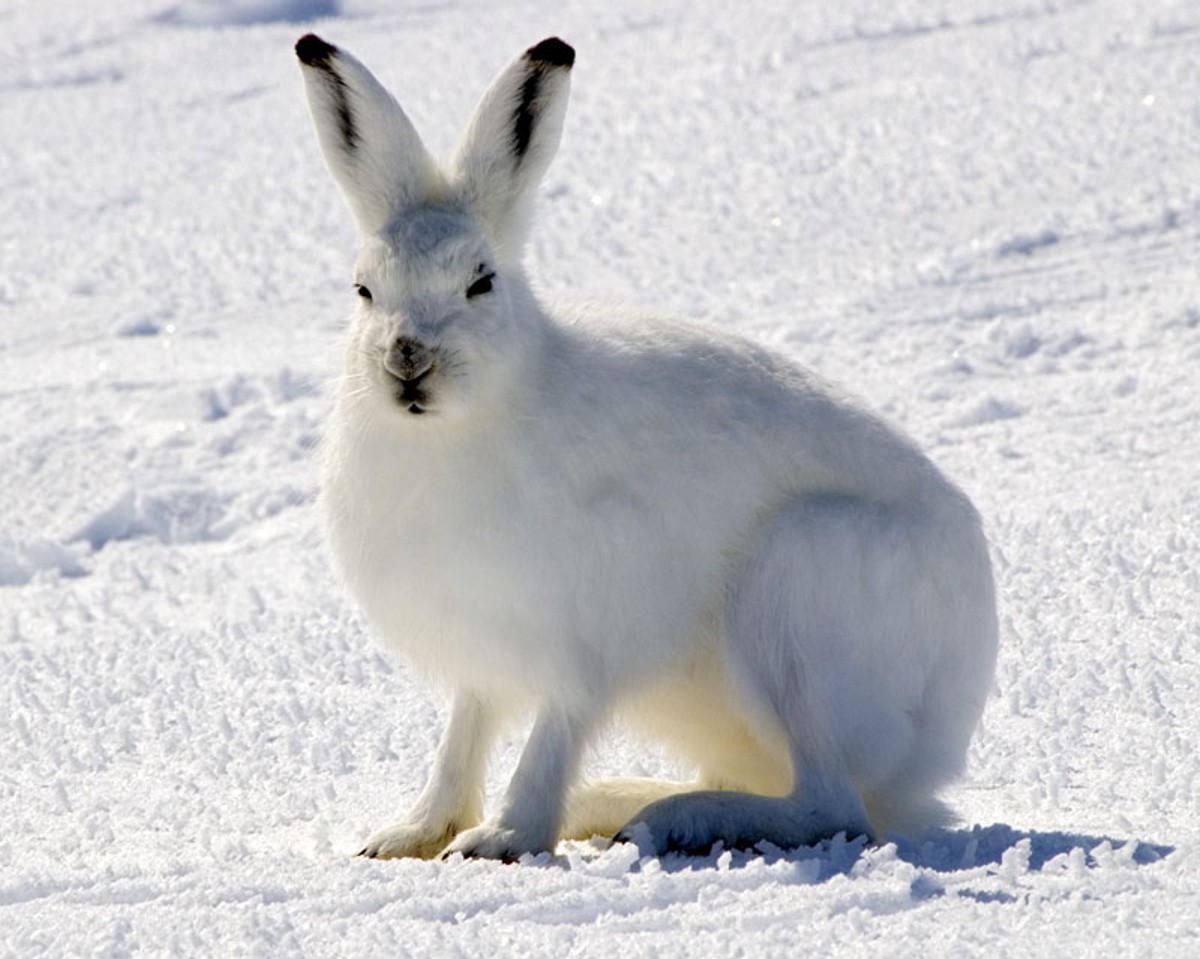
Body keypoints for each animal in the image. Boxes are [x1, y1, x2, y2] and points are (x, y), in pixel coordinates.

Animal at [295, 33, 999, 862]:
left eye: (481, 282)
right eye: (364, 290)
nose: (408, 359)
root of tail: (945, 730)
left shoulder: (584, 639)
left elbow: (551, 735)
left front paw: (502, 835)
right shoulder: (483, 651)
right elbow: (464, 735)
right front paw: (410, 833)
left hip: (800, 589)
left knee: (833, 805)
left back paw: (675, 819)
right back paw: (619, 803)